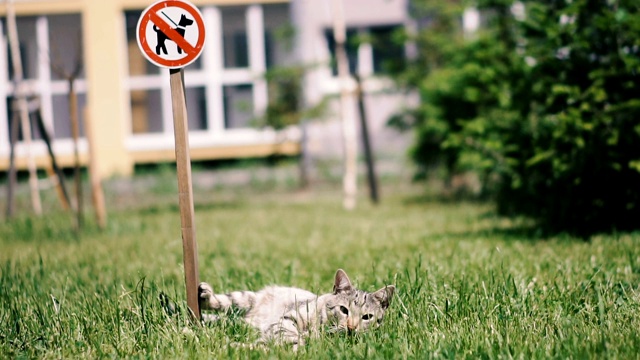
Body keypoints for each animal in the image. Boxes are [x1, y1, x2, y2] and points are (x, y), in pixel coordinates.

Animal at [198, 268, 396, 348]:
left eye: (367, 317)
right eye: (344, 310)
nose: (351, 327)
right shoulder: (290, 317)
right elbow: (288, 332)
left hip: (241, 320)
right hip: (244, 298)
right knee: (221, 304)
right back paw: (205, 296)